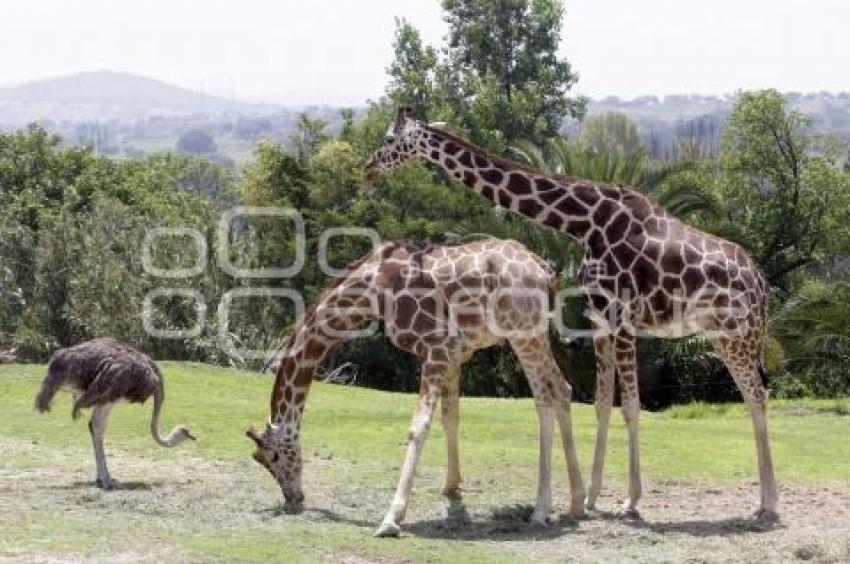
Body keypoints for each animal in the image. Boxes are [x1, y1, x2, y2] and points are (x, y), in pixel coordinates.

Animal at [248, 239, 588, 536]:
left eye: (272, 457)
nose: (293, 499)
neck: (372, 290)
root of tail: (544, 269)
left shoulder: (438, 346)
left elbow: (418, 427)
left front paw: (391, 519)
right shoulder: (456, 352)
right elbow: (450, 417)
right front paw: (451, 487)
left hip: (523, 333)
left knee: (545, 396)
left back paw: (541, 511)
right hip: (536, 335)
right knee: (562, 389)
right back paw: (577, 503)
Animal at [362, 106, 776, 520]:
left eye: (388, 139)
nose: (368, 168)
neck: (584, 222)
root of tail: (760, 281)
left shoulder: (623, 316)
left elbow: (631, 406)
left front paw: (630, 499)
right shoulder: (600, 315)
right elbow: (601, 403)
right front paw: (591, 498)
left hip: (737, 332)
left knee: (757, 395)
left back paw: (768, 503)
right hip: (724, 334)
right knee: (752, 395)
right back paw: (762, 500)